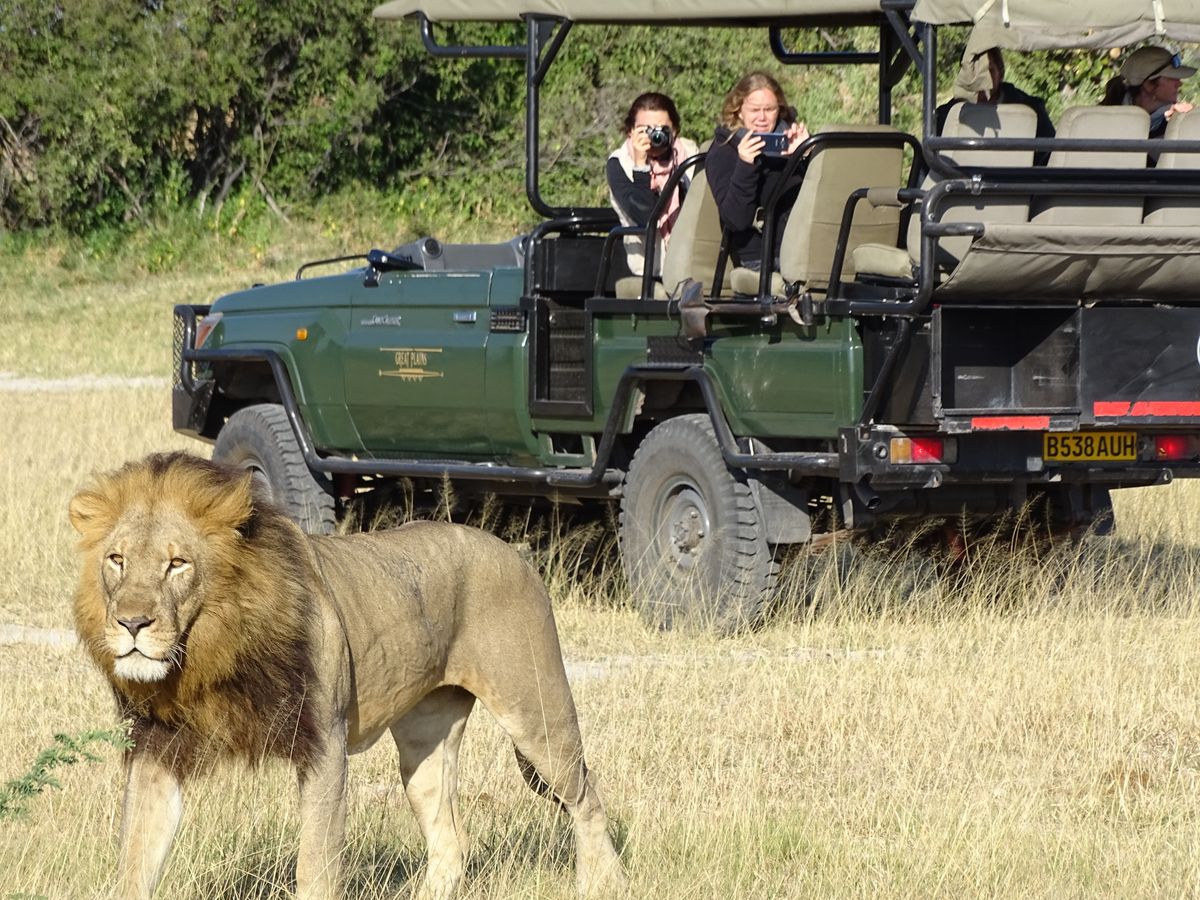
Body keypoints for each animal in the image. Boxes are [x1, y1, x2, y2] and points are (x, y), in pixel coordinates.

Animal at [68, 452, 625, 900]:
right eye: (117, 560)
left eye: (177, 564)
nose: (132, 623)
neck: (208, 654)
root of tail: (514, 551)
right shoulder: (157, 749)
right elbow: (135, 860)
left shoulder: (323, 742)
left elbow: (315, 864)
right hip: (424, 745)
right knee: (450, 837)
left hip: (536, 710)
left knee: (587, 798)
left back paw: (602, 884)